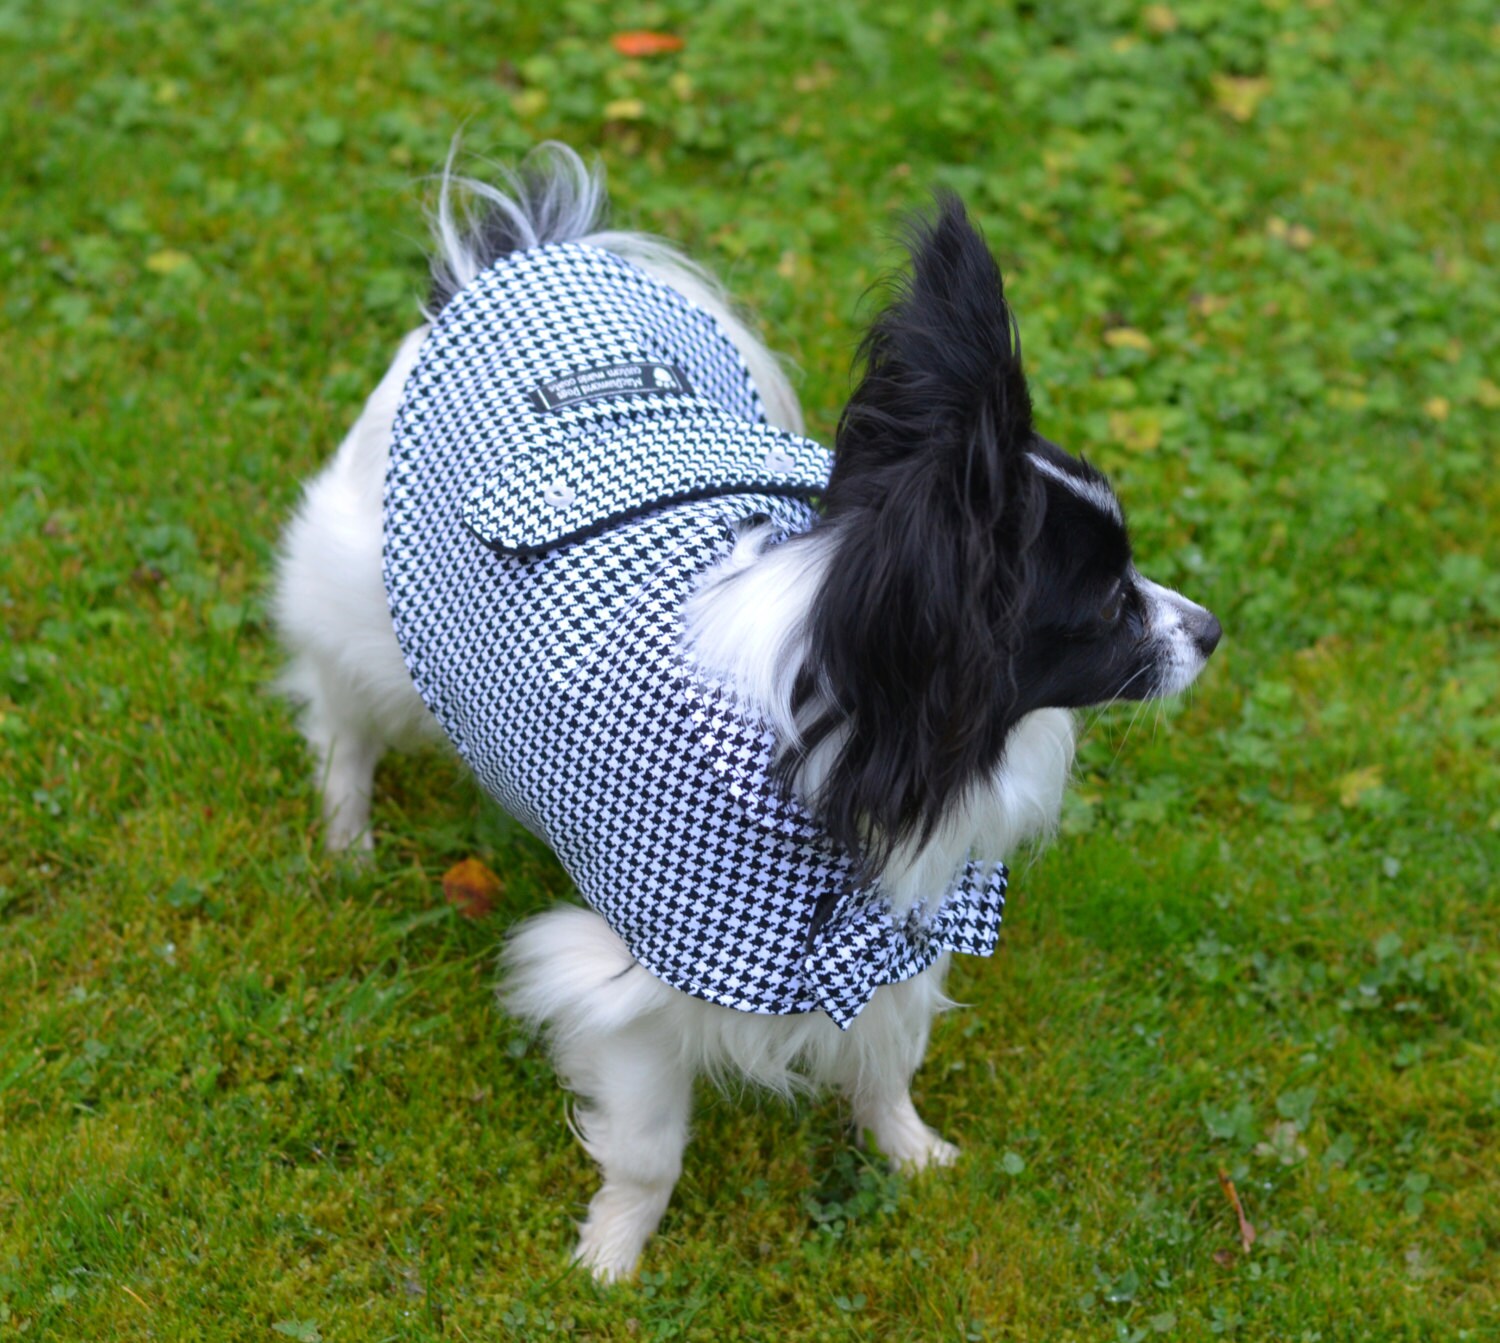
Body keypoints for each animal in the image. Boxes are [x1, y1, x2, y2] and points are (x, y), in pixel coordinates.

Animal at [276, 144, 1224, 1284]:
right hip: (372, 618)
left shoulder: (898, 929)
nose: (1213, 629)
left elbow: (887, 1057)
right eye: (1108, 605)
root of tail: (525, 257)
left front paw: (914, 1157)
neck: (849, 748)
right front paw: (611, 1258)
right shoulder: (633, 989)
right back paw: (347, 841)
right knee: (344, 718)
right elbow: (650, 1149)